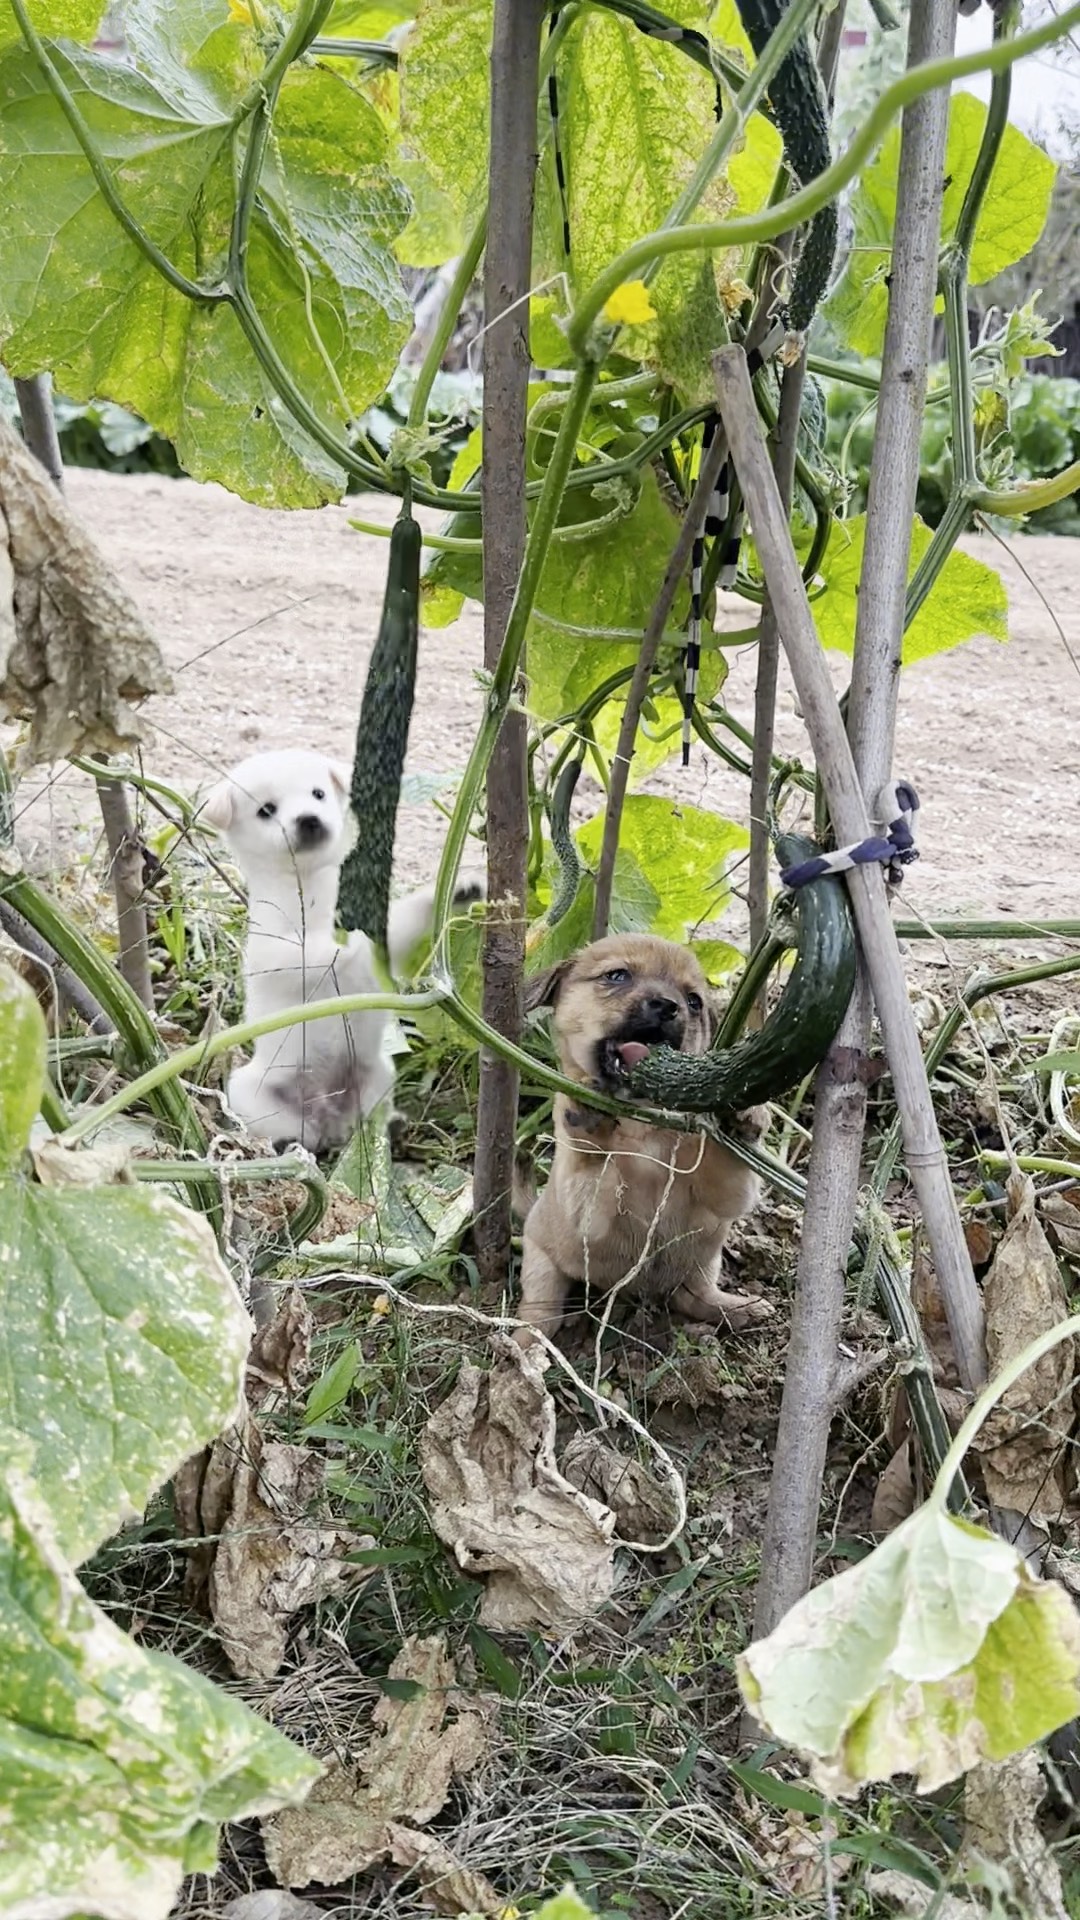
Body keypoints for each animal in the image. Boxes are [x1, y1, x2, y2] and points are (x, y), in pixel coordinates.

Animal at [198, 741, 474, 1144]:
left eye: (318, 794)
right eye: (266, 810)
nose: (308, 819)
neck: (313, 887)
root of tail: (324, 1113)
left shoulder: (385, 947)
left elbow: (398, 924)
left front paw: (459, 891)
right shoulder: (273, 949)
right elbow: (313, 951)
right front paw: (345, 941)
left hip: (377, 1078)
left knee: (362, 1125)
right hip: (251, 1092)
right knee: (291, 1132)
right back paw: (291, 1145)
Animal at [518, 936, 768, 1344]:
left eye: (694, 1001)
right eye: (617, 975)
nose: (667, 1006)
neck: (642, 1127)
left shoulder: (725, 1197)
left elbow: (724, 1156)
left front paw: (743, 1111)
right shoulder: (587, 1214)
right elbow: (593, 1160)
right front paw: (586, 1116)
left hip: (704, 1257)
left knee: (692, 1295)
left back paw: (736, 1308)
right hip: (542, 1266)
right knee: (540, 1313)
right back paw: (523, 1343)